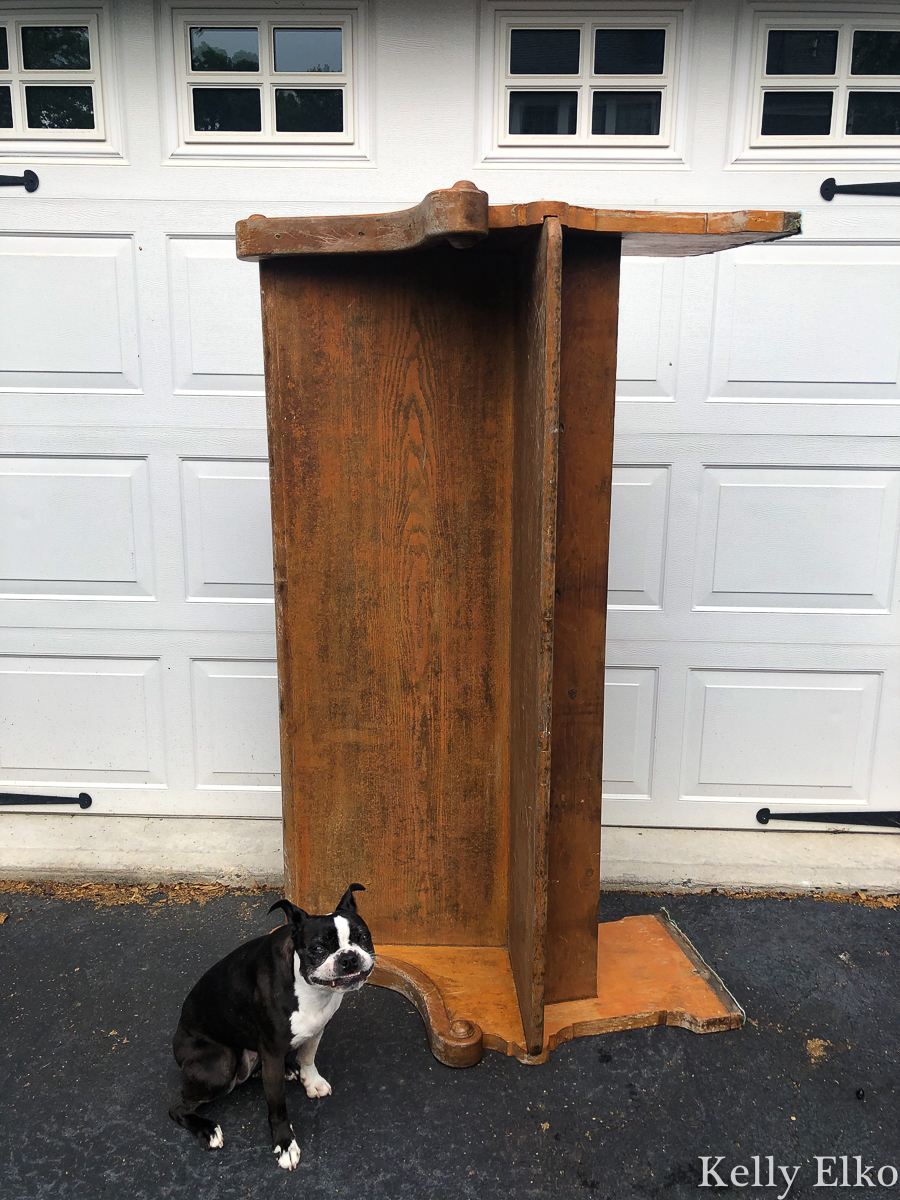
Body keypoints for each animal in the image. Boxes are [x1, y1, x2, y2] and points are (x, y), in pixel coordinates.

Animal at [168, 883, 374, 1171]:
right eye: (318, 948)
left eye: (363, 937)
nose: (349, 958)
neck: (308, 987)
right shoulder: (273, 1053)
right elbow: (278, 1107)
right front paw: (285, 1144)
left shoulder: (316, 1028)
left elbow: (308, 1057)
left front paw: (310, 1081)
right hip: (219, 1064)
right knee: (178, 1108)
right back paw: (207, 1129)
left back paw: (288, 1069)